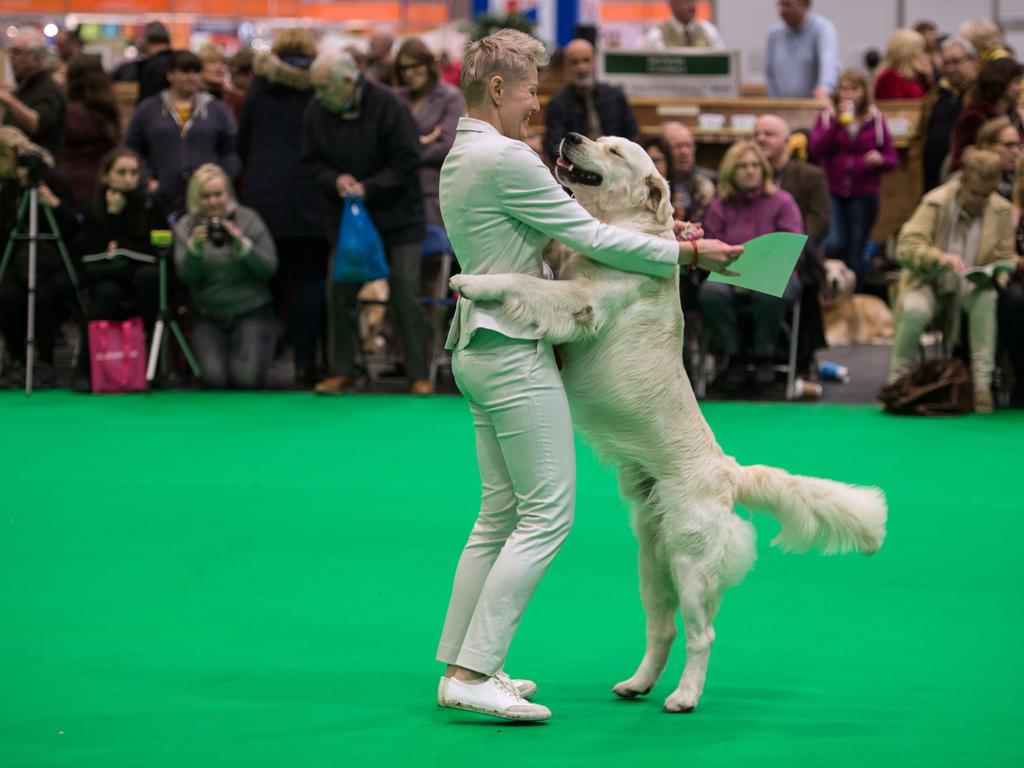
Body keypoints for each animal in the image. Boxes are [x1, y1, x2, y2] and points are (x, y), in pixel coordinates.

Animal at [450, 132, 888, 716]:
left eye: (613, 151)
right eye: (598, 140)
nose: (570, 136)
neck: (620, 228)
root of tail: (728, 471)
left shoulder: (582, 301)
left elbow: (527, 282)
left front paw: (473, 280)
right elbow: (546, 263)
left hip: (690, 561)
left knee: (702, 634)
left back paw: (684, 696)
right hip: (651, 563)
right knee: (663, 629)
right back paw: (637, 683)